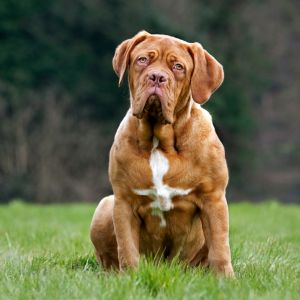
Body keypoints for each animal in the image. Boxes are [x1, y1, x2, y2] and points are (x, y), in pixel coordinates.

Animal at [90, 30, 236, 276]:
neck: (160, 142)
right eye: (142, 60)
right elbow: (127, 248)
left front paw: (225, 279)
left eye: (178, 67)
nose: (157, 77)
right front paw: (130, 278)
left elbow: (219, 247)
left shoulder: (213, 198)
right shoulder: (124, 202)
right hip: (104, 207)